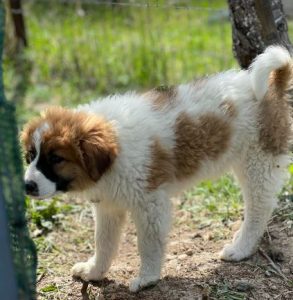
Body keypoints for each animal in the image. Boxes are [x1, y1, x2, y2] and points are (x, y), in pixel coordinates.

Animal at [21, 45, 292, 292]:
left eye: (56, 159)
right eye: (31, 156)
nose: (27, 186)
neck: (116, 147)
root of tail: (273, 85)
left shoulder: (150, 203)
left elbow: (148, 244)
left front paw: (147, 279)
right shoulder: (109, 205)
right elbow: (103, 242)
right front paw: (94, 271)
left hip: (258, 162)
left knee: (259, 207)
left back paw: (241, 248)